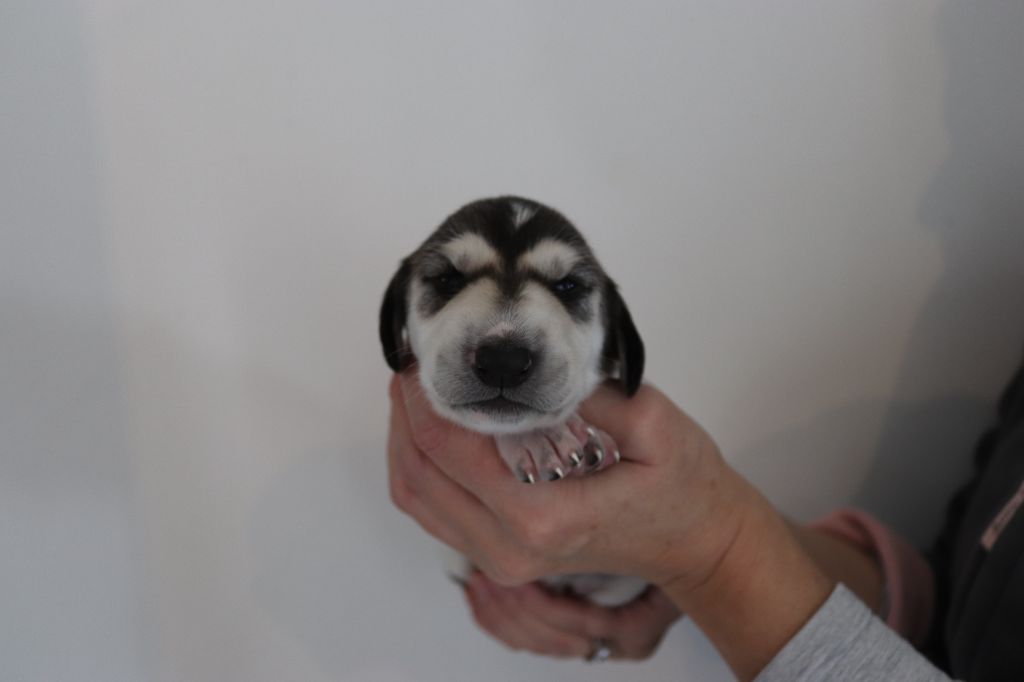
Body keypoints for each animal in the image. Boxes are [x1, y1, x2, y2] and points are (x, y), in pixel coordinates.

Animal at [380, 196, 647, 605]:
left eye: (567, 285)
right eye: (448, 279)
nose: (502, 361)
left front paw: (566, 439)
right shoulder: (455, 558)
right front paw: (542, 439)